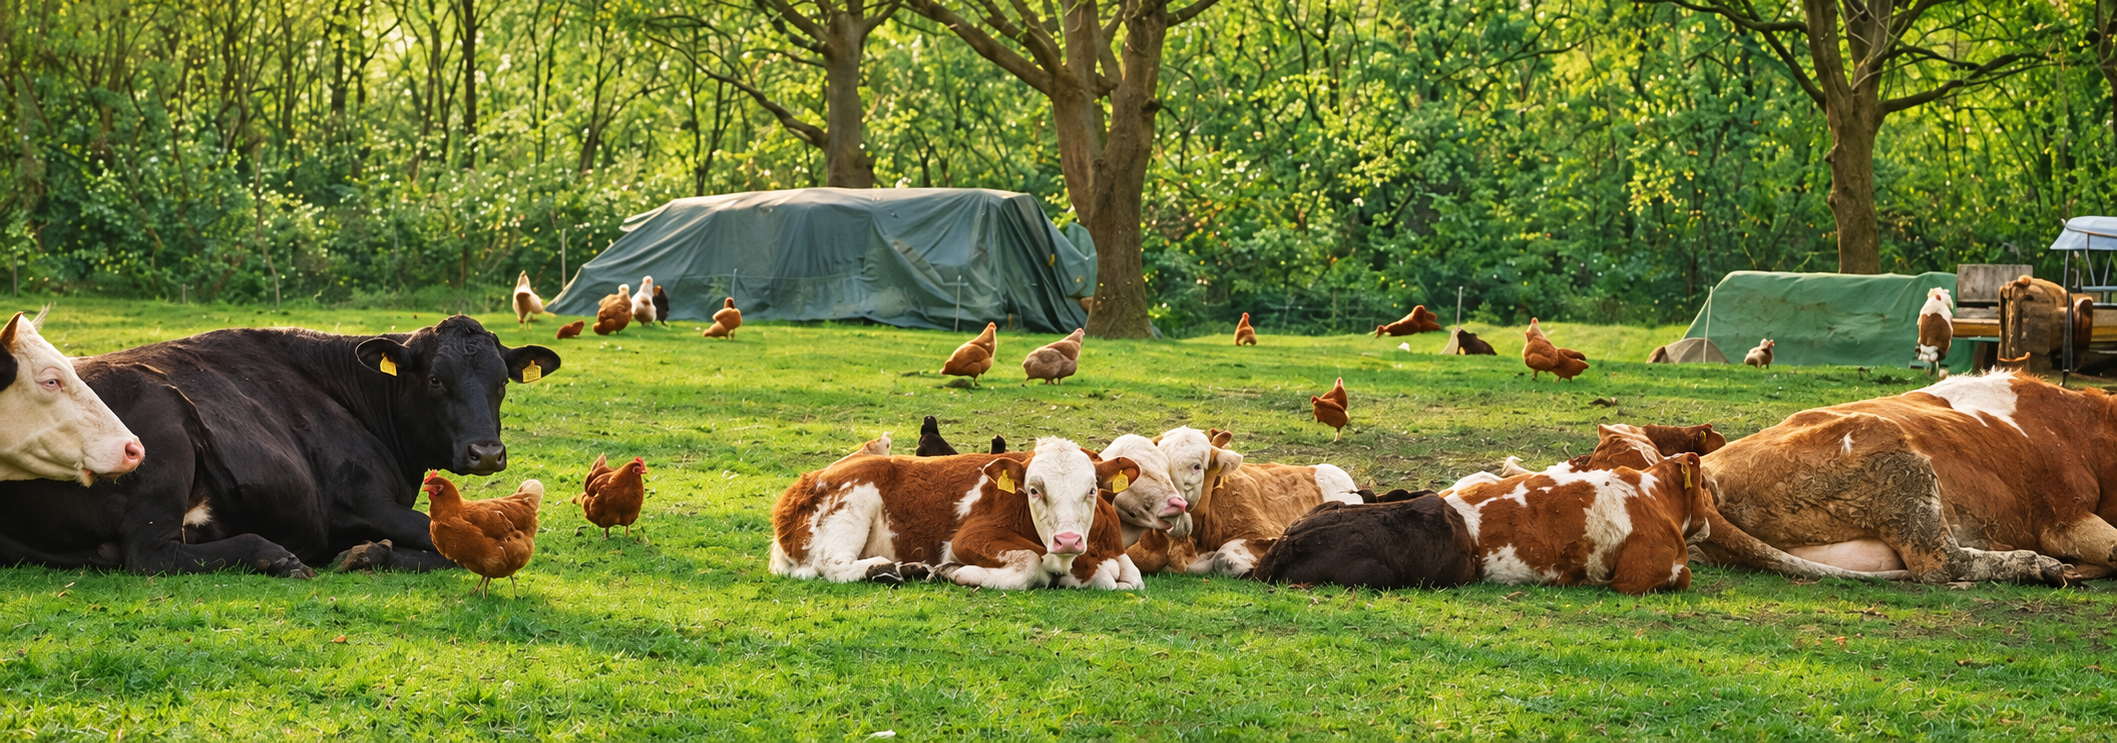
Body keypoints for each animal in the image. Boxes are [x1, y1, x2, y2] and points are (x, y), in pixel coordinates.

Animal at [769, 439, 1144, 589]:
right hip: (851, 506)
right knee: (833, 566)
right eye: (1034, 490)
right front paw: (956, 572)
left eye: (1092, 489)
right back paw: (885, 570)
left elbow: (1131, 578)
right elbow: (1028, 566)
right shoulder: (967, 539)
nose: (1067, 540)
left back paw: (911, 568)